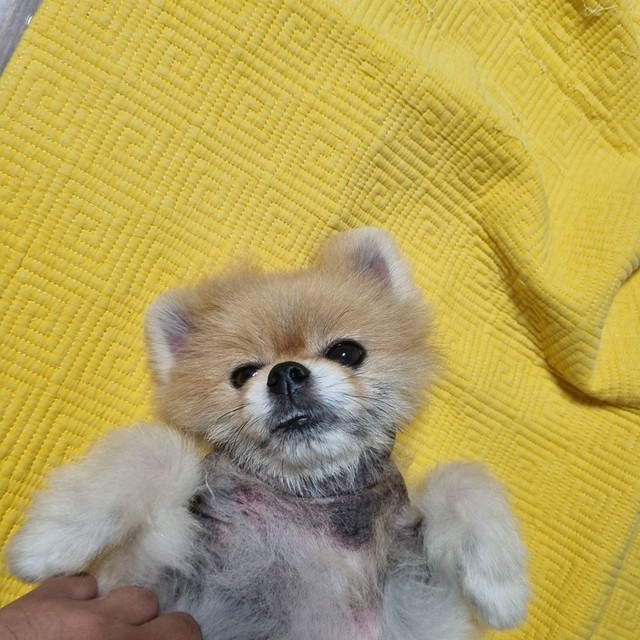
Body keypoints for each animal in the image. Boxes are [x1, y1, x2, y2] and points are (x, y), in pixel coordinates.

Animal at [8, 227, 530, 639]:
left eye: (346, 352)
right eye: (242, 374)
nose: (285, 374)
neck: (315, 503)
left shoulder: (425, 603)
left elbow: (462, 476)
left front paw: (500, 585)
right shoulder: (155, 583)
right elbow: (158, 448)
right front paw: (50, 540)